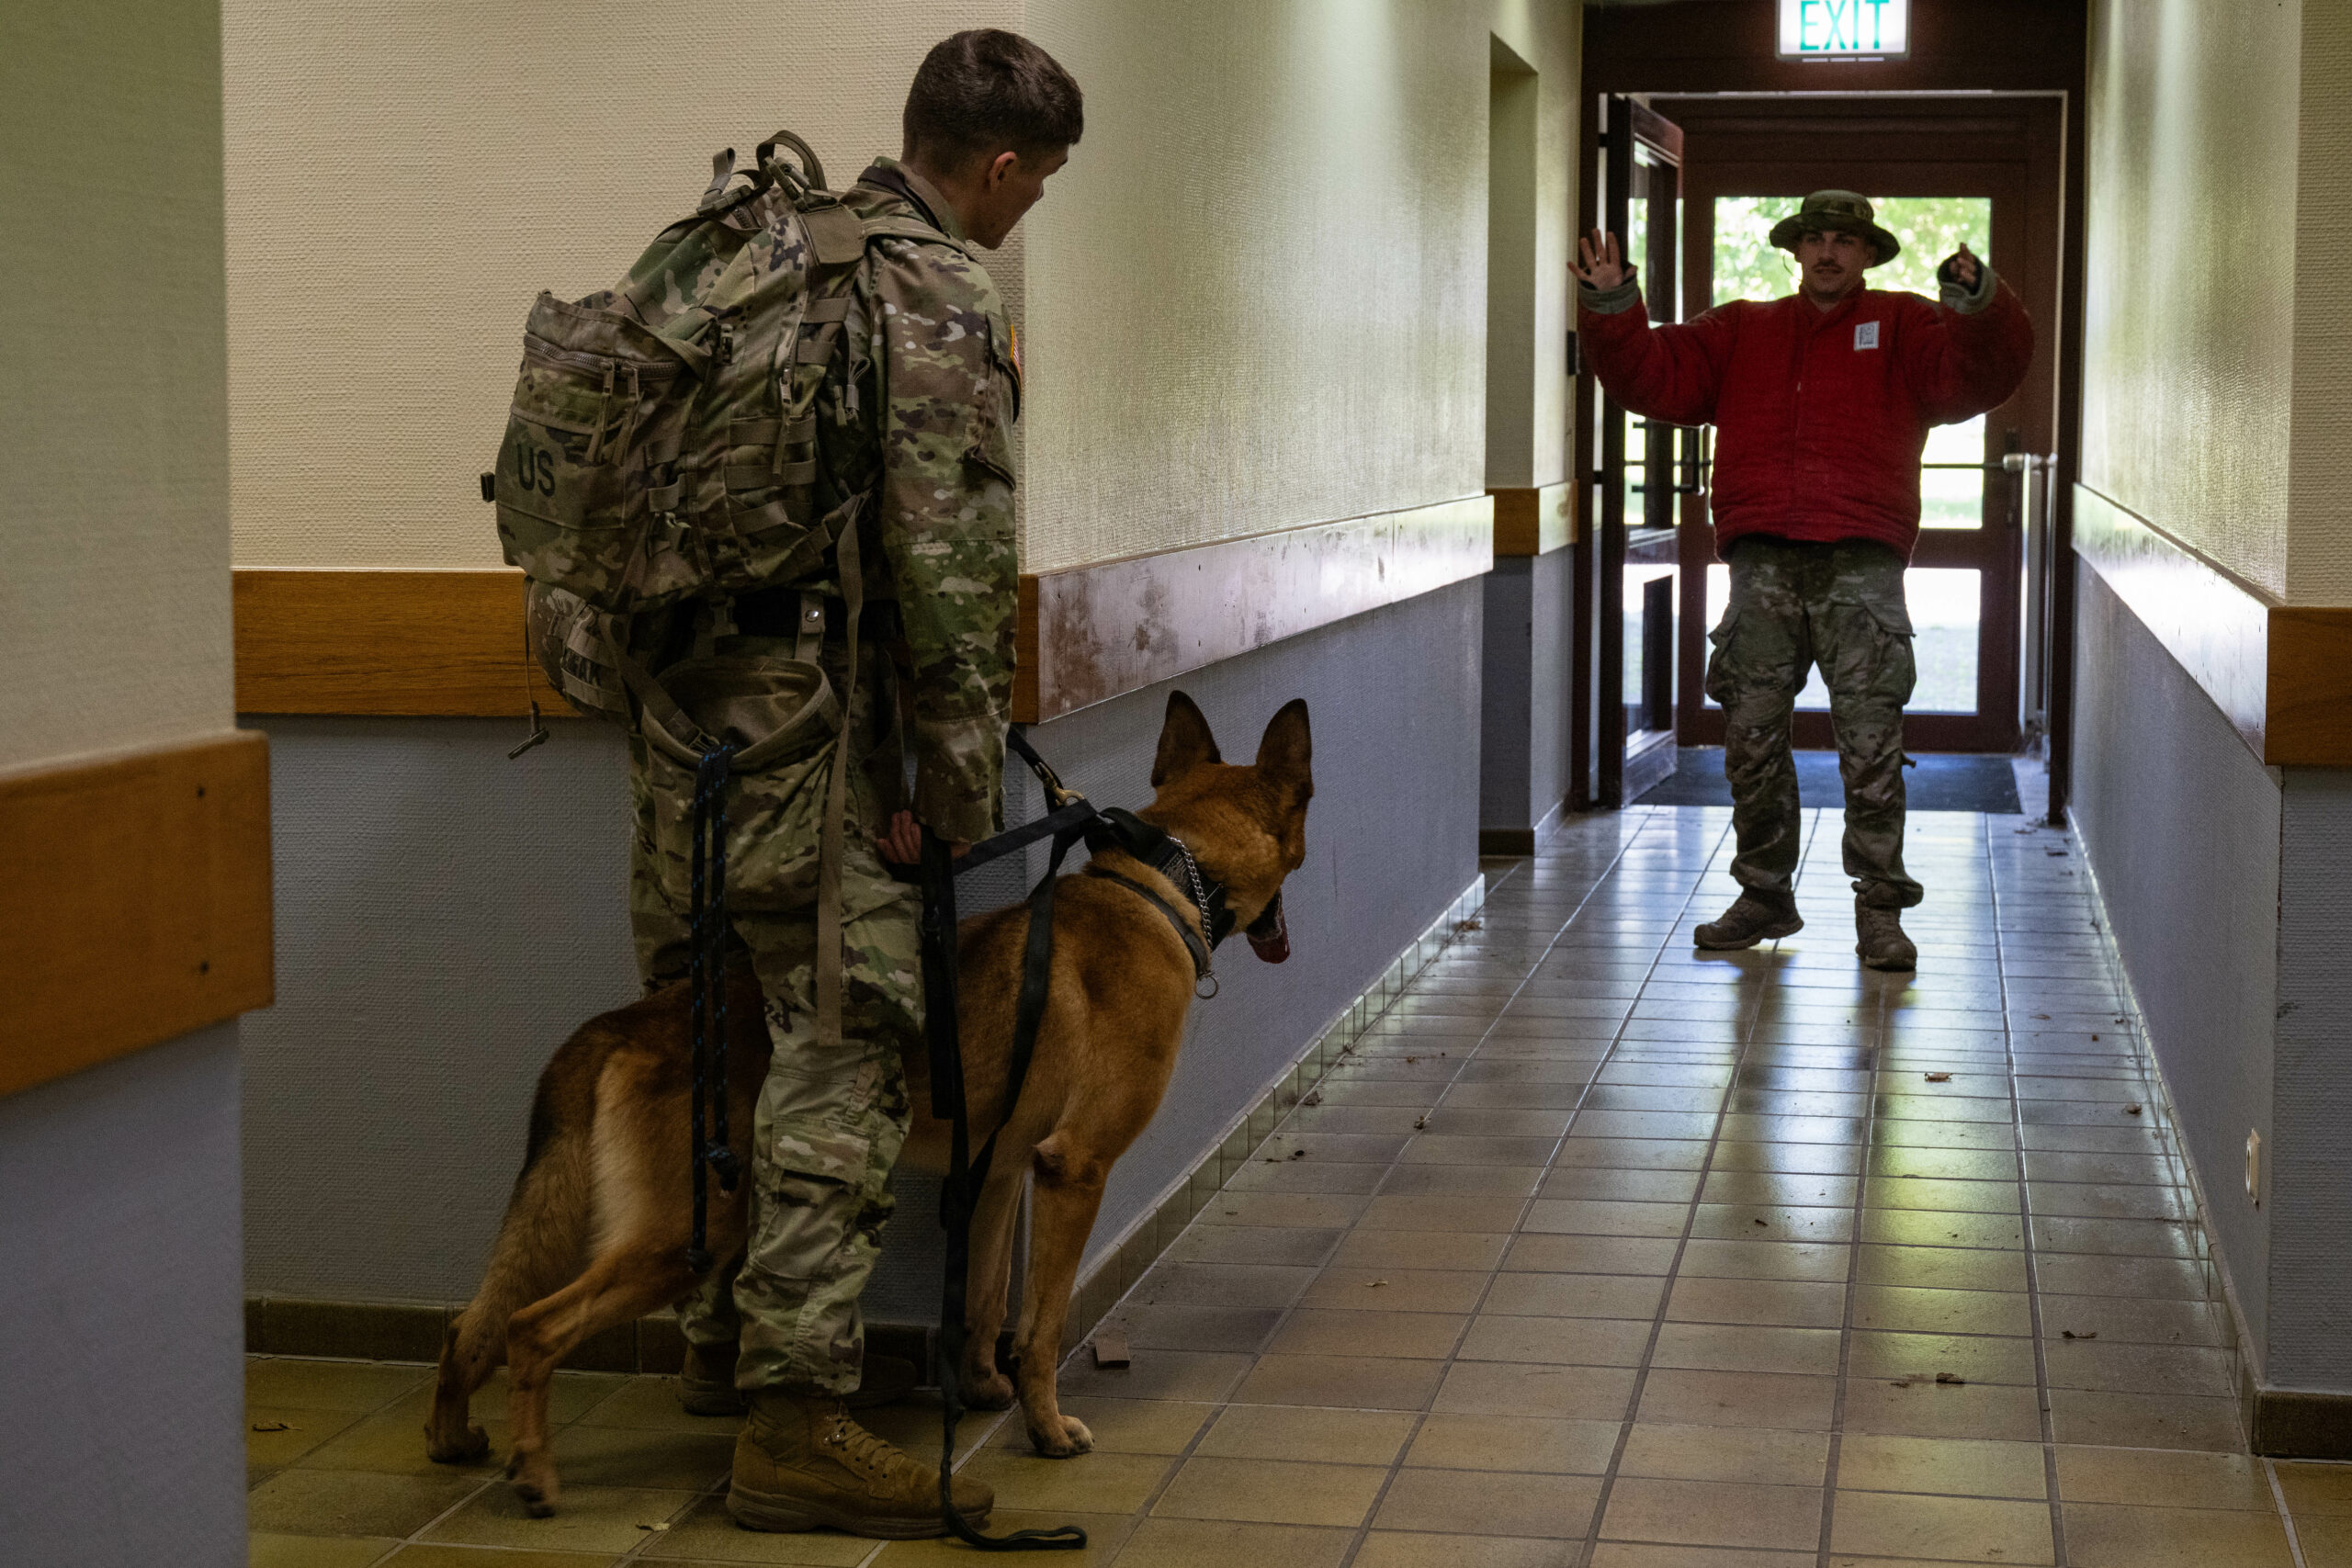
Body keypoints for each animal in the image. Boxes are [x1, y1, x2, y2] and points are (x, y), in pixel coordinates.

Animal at [433, 691, 1317, 1514]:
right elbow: (1042, 1324)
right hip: (687, 1233)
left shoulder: (995, 1175)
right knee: (529, 1327)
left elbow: (984, 1299)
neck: (1165, 880)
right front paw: (1045, 1426)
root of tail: (624, 1024)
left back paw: (454, 1435)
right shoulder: (1075, 1170)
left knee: (471, 1322)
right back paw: (536, 1471)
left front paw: (983, 1391)